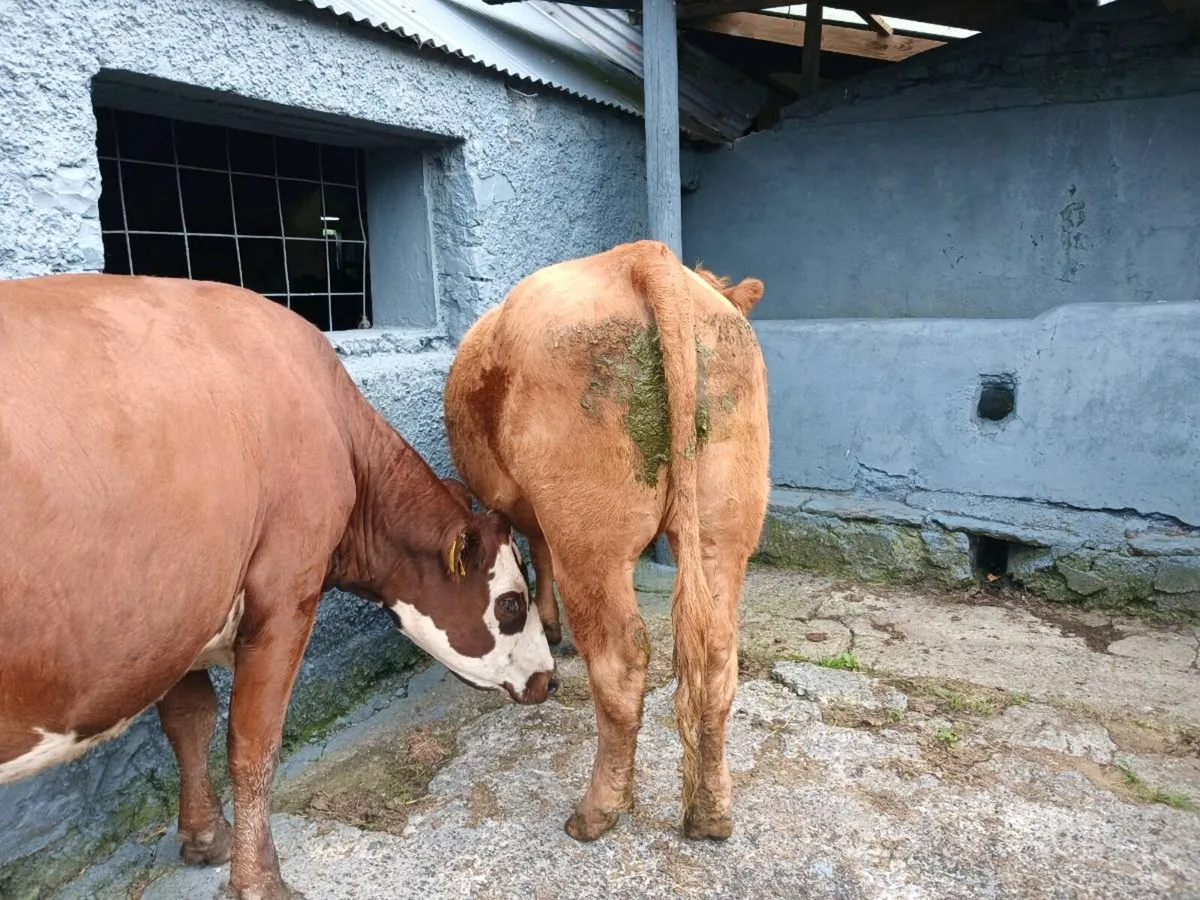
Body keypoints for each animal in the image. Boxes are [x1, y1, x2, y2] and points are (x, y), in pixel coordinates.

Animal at [0, 274, 556, 900]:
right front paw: (260, 880)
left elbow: (190, 720)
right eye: (510, 604)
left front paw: (206, 837)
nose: (551, 678)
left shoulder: (181, 613)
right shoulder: (284, 594)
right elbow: (252, 743)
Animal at [443, 240, 769, 844]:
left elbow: (528, 557)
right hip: (726, 523)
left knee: (620, 662)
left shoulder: (515, 509)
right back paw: (711, 813)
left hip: (590, 536)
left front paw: (544, 625)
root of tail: (644, 256)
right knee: (717, 657)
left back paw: (596, 812)